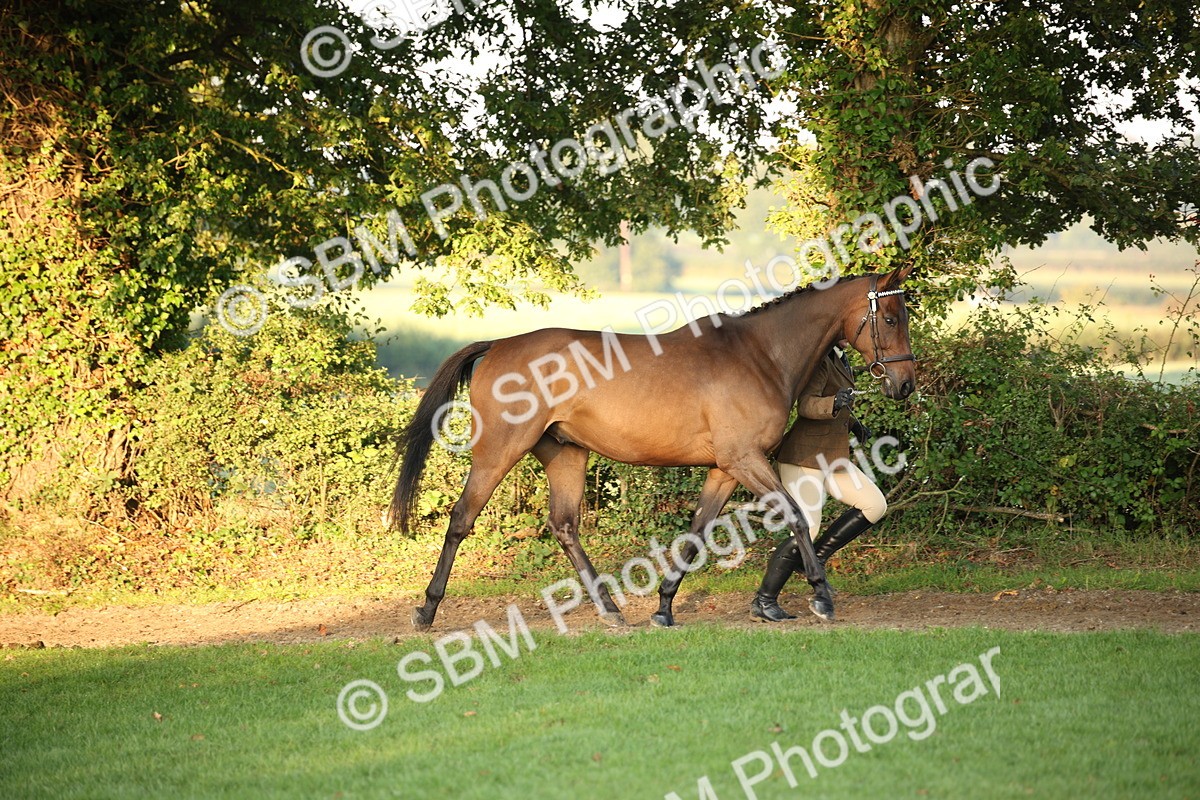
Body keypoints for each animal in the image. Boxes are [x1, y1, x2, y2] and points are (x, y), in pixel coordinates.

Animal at [390, 266, 916, 630]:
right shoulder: (745, 460)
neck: (760, 355)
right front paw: (821, 596)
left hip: (566, 453)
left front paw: (664, 607)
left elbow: (698, 532)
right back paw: (426, 610)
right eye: (890, 317)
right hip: (499, 450)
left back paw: (610, 609)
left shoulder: (725, 468)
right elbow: (794, 516)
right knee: (462, 519)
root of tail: (499, 345)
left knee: (564, 526)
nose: (905, 385)